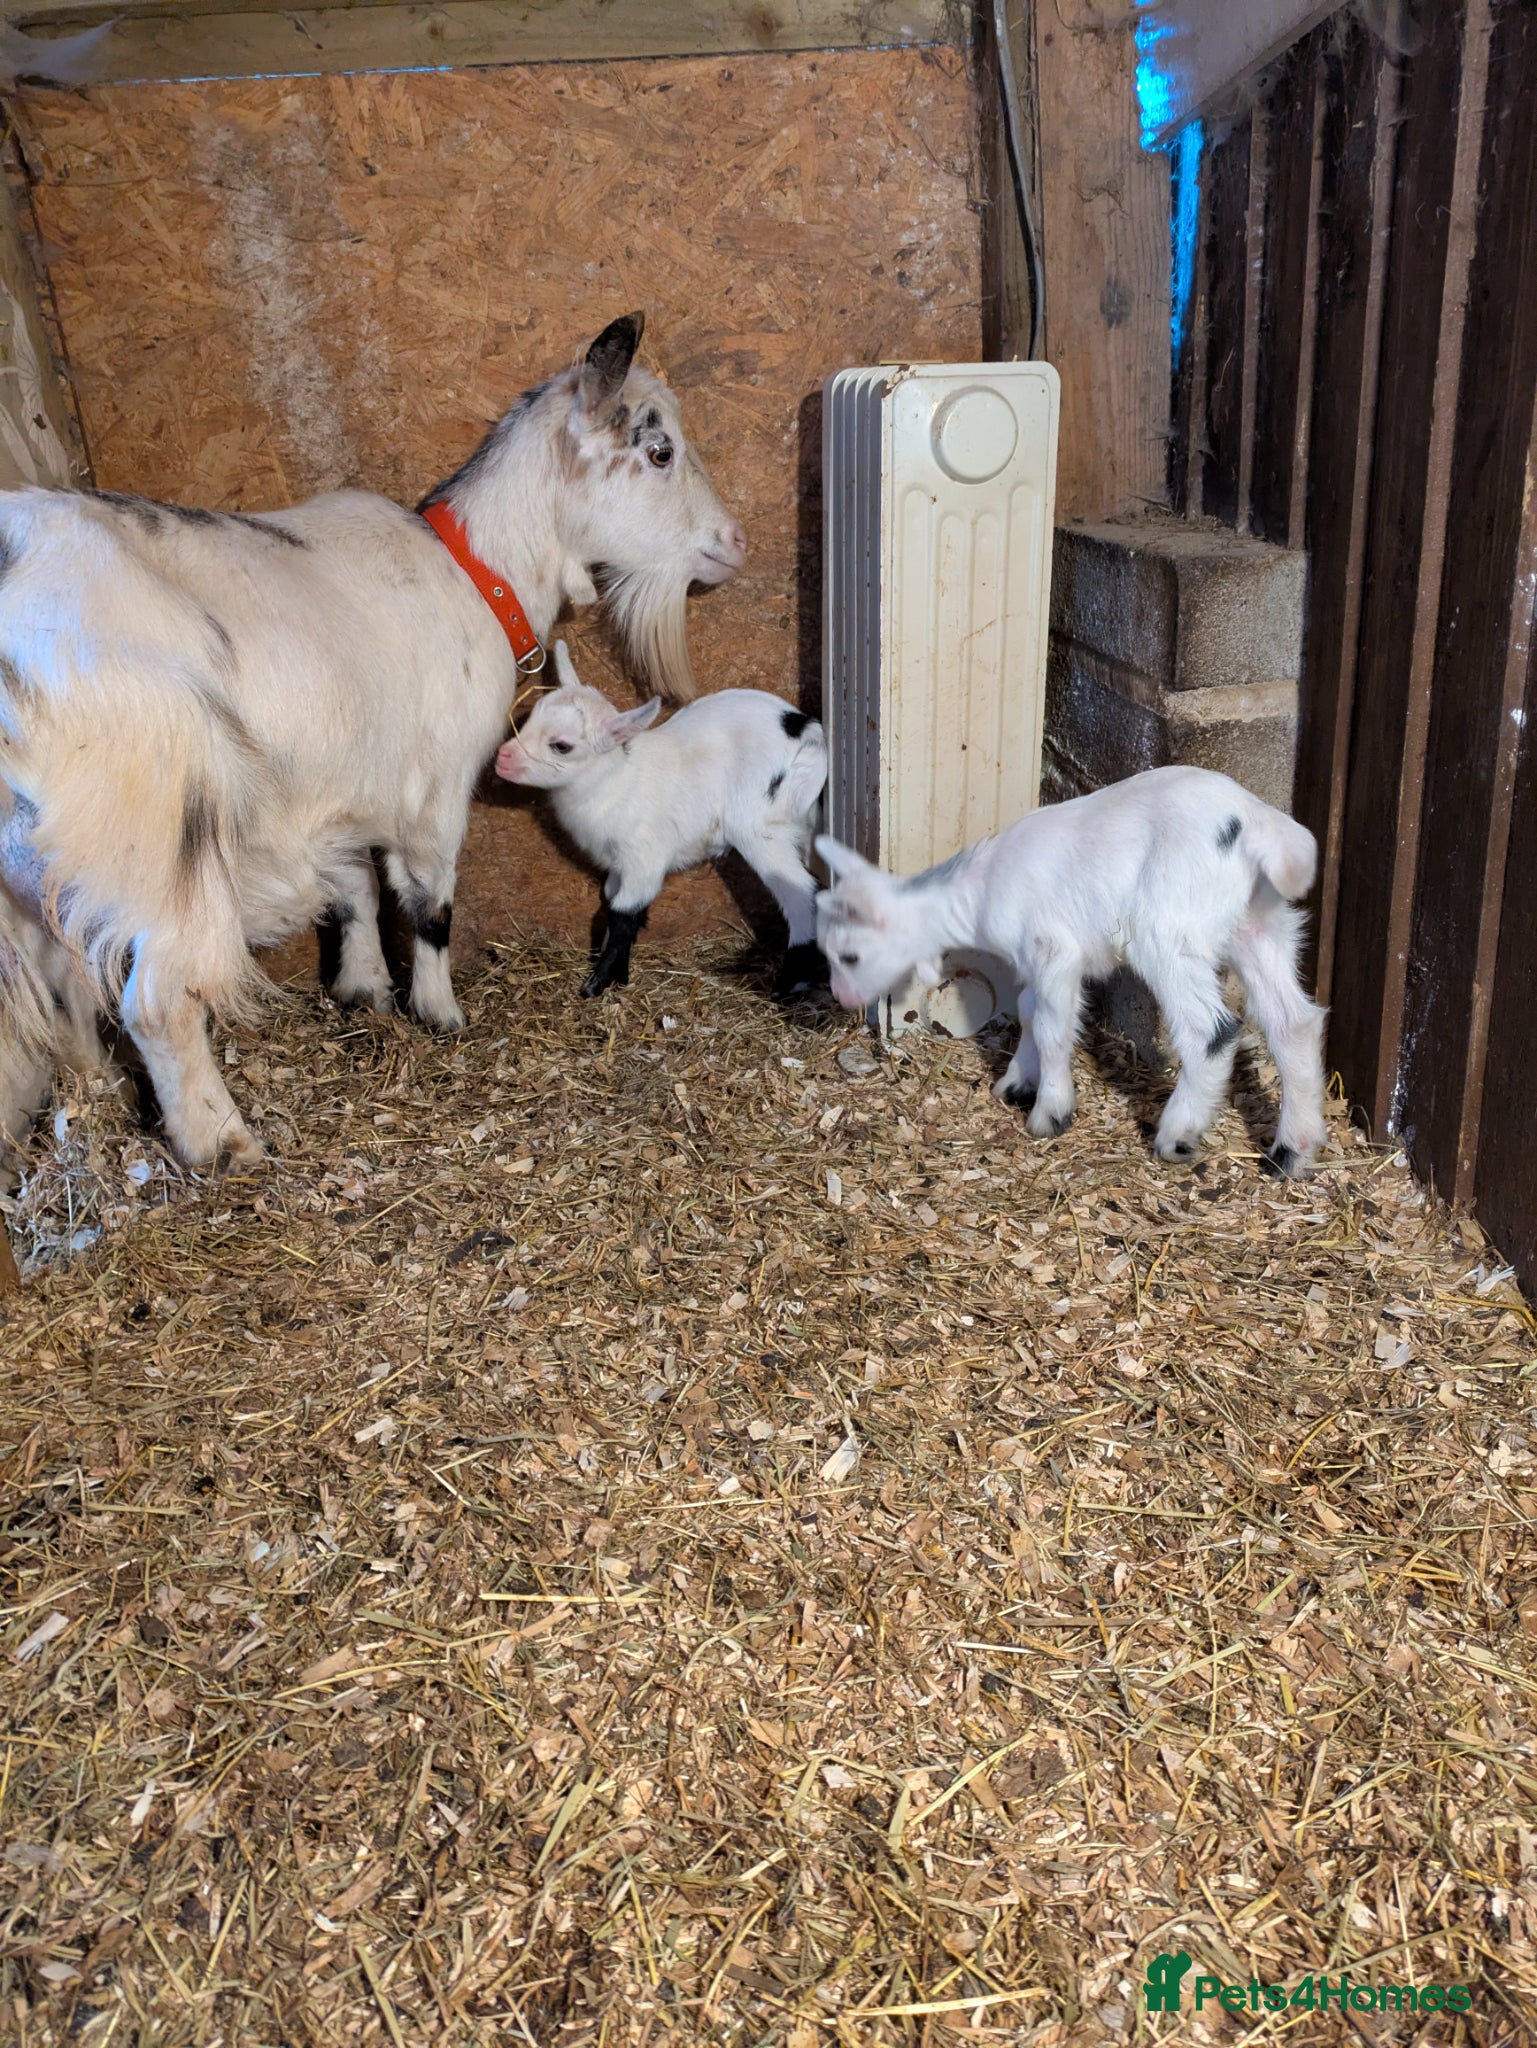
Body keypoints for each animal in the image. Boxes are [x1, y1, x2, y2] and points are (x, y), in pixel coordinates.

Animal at [0, 313, 745, 1171]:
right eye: (660, 452)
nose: (734, 542)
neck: (475, 572)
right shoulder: (438, 786)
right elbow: (429, 905)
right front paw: (439, 1010)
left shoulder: (343, 778)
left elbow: (352, 882)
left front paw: (363, 990)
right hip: (154, 825)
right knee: (158, 997)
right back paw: (223, 1142)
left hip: (33, 863)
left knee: (59, 981)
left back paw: (91, 1090)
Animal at [496, 641, 827, 998]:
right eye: (528, 719)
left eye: (561, 746)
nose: (502, 758)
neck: (615, 783)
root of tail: (806, 732)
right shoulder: (618, 865)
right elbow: (619, 905)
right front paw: (618, 974)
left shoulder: (644, 856)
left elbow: (624, 913)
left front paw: (598, 982)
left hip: (757, 824)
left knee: (803, 895)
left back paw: (791, 984)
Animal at [815, 765, 1329, 1174]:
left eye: (850, 956)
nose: (840, 997)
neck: (977, 890)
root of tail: (1256, 822)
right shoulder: (1039, 962)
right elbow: (1027, 1009)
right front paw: (1017, 1083)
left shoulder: (1053, 950)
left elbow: (1051, 1026)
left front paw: (1050, 1112)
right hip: (1258, 923)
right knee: (1293, 1023)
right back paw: (1291, 1152)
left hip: (1169, 932)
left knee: (1212, 1031)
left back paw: (1177, 1135)